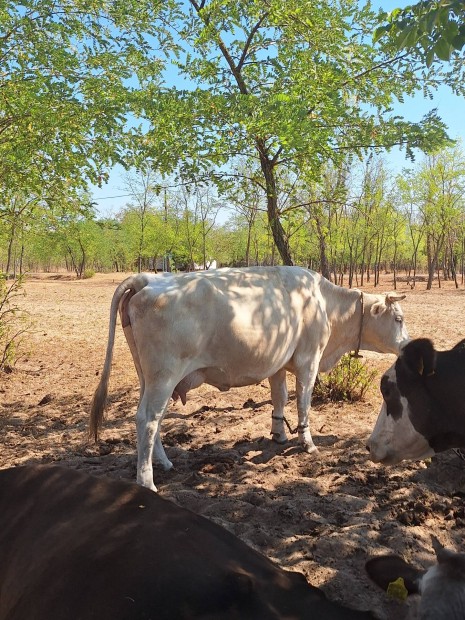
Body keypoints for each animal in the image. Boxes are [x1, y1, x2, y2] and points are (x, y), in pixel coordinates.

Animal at [89, 266, 406, 490]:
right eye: (399, 318)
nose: (407, 344)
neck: (324, 304)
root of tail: (147, 279)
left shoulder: (279, 364)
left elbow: (280, 398)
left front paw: (278, 434)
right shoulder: (309, 361)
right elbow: (303, 402)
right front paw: (307, 442)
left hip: (149, 377)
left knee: (151, 418)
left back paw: (164, 463)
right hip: (163, 375)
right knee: (148, 419)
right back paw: (147, 481)